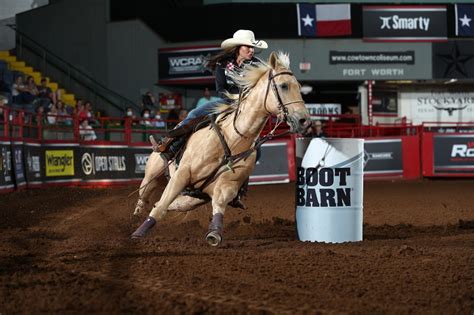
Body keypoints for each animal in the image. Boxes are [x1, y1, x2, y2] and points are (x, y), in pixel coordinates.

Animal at [131, 51, 312, 247]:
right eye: (284, 85)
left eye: (299, 86)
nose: (305, 121)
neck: (233, 138)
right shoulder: (182, 174)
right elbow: (161, 206)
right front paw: (138, 233)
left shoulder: (228, 184)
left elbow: (218, 203)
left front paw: (214, 232)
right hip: (152, 175)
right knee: (145, 197)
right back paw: (135, 219)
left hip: (190, 199)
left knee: (164, 203)